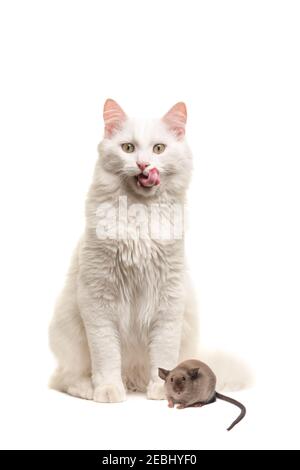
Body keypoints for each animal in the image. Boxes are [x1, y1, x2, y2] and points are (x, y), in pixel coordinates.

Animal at [49, 101, 202, 402]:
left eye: (158, 149)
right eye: (128, 148)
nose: (143, 164)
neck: (139, 212)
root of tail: (134, 378)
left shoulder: (169, 298)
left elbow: (163, 355)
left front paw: (162, 390)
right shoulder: (98, 299)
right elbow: (106, 356)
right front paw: (108, 390)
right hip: (68, 329)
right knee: (67, 378)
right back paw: (89, 388)